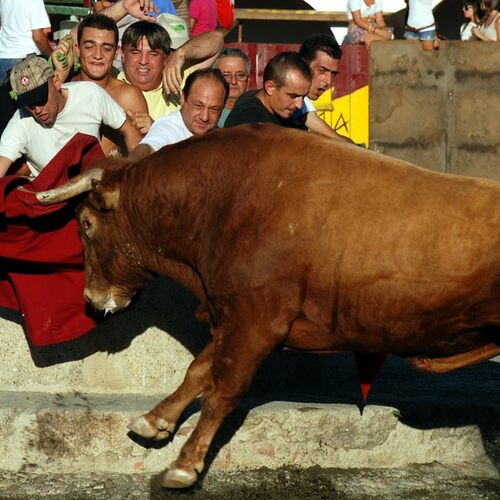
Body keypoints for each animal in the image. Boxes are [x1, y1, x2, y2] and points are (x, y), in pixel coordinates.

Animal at [36, 125, 500, 488]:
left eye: (86, 224)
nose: (91, 299)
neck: (223, 198)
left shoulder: (257, 321)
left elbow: (223, 389)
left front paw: (185, 465)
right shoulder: (235, 316)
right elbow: (199, 370)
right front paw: (154, 421)